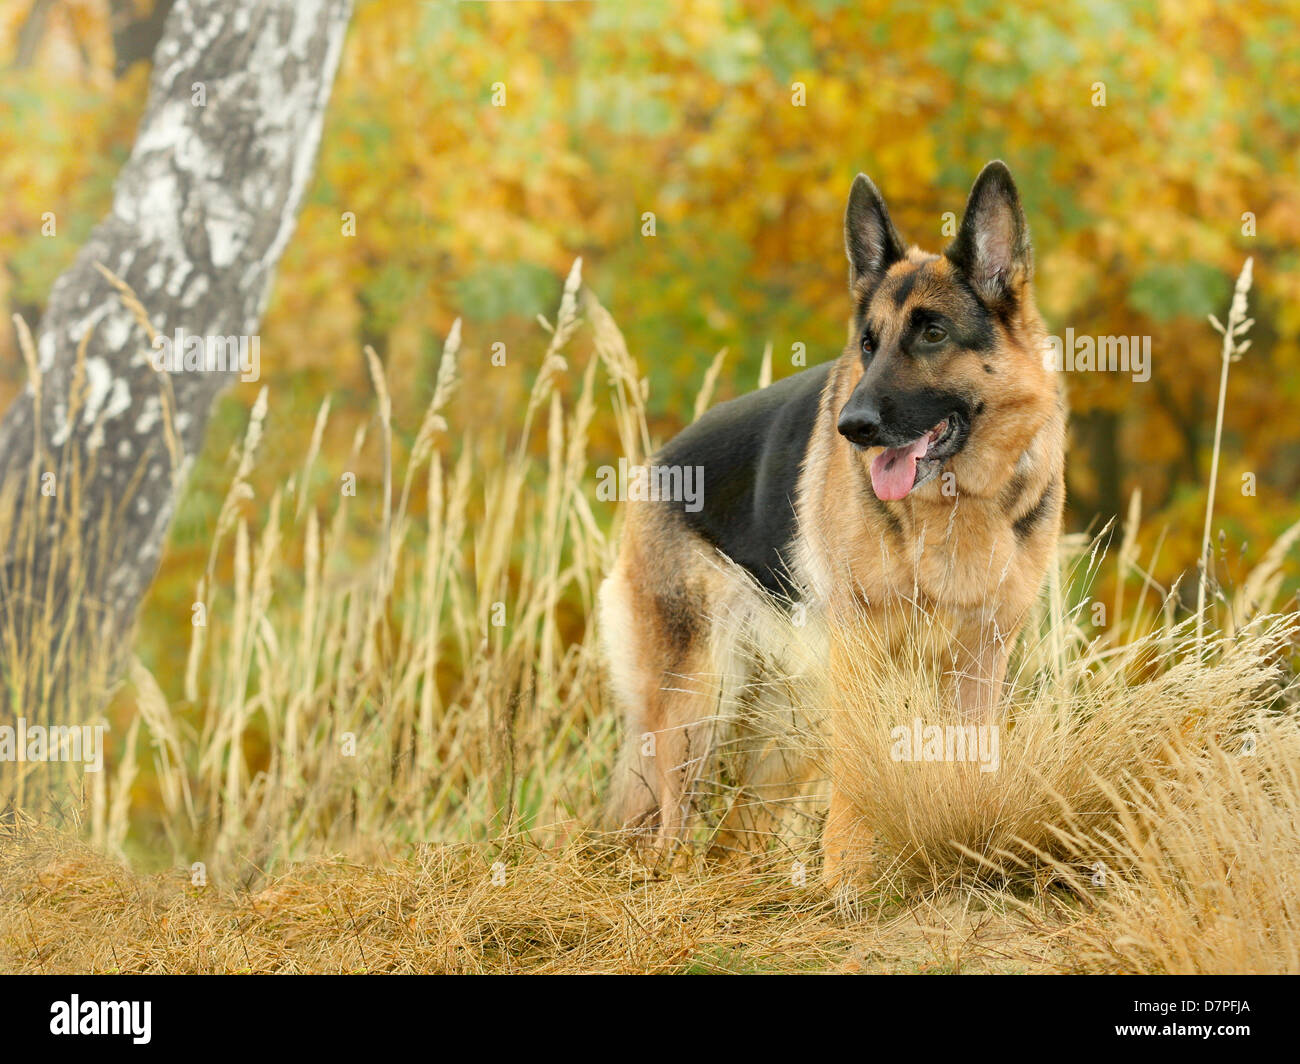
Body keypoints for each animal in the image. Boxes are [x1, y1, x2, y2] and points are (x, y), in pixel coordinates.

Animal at [598, 161, 1066, 884]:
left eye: (933, 333)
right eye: (869, 344)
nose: (854, 426)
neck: (956, 500)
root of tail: (656, 466)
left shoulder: (978, 662)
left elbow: (968, 767)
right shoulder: (862, 656)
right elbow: (855, 794)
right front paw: (846, 884)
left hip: (780, 726)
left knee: (733, 835)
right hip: (695, 703)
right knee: (666, 827)